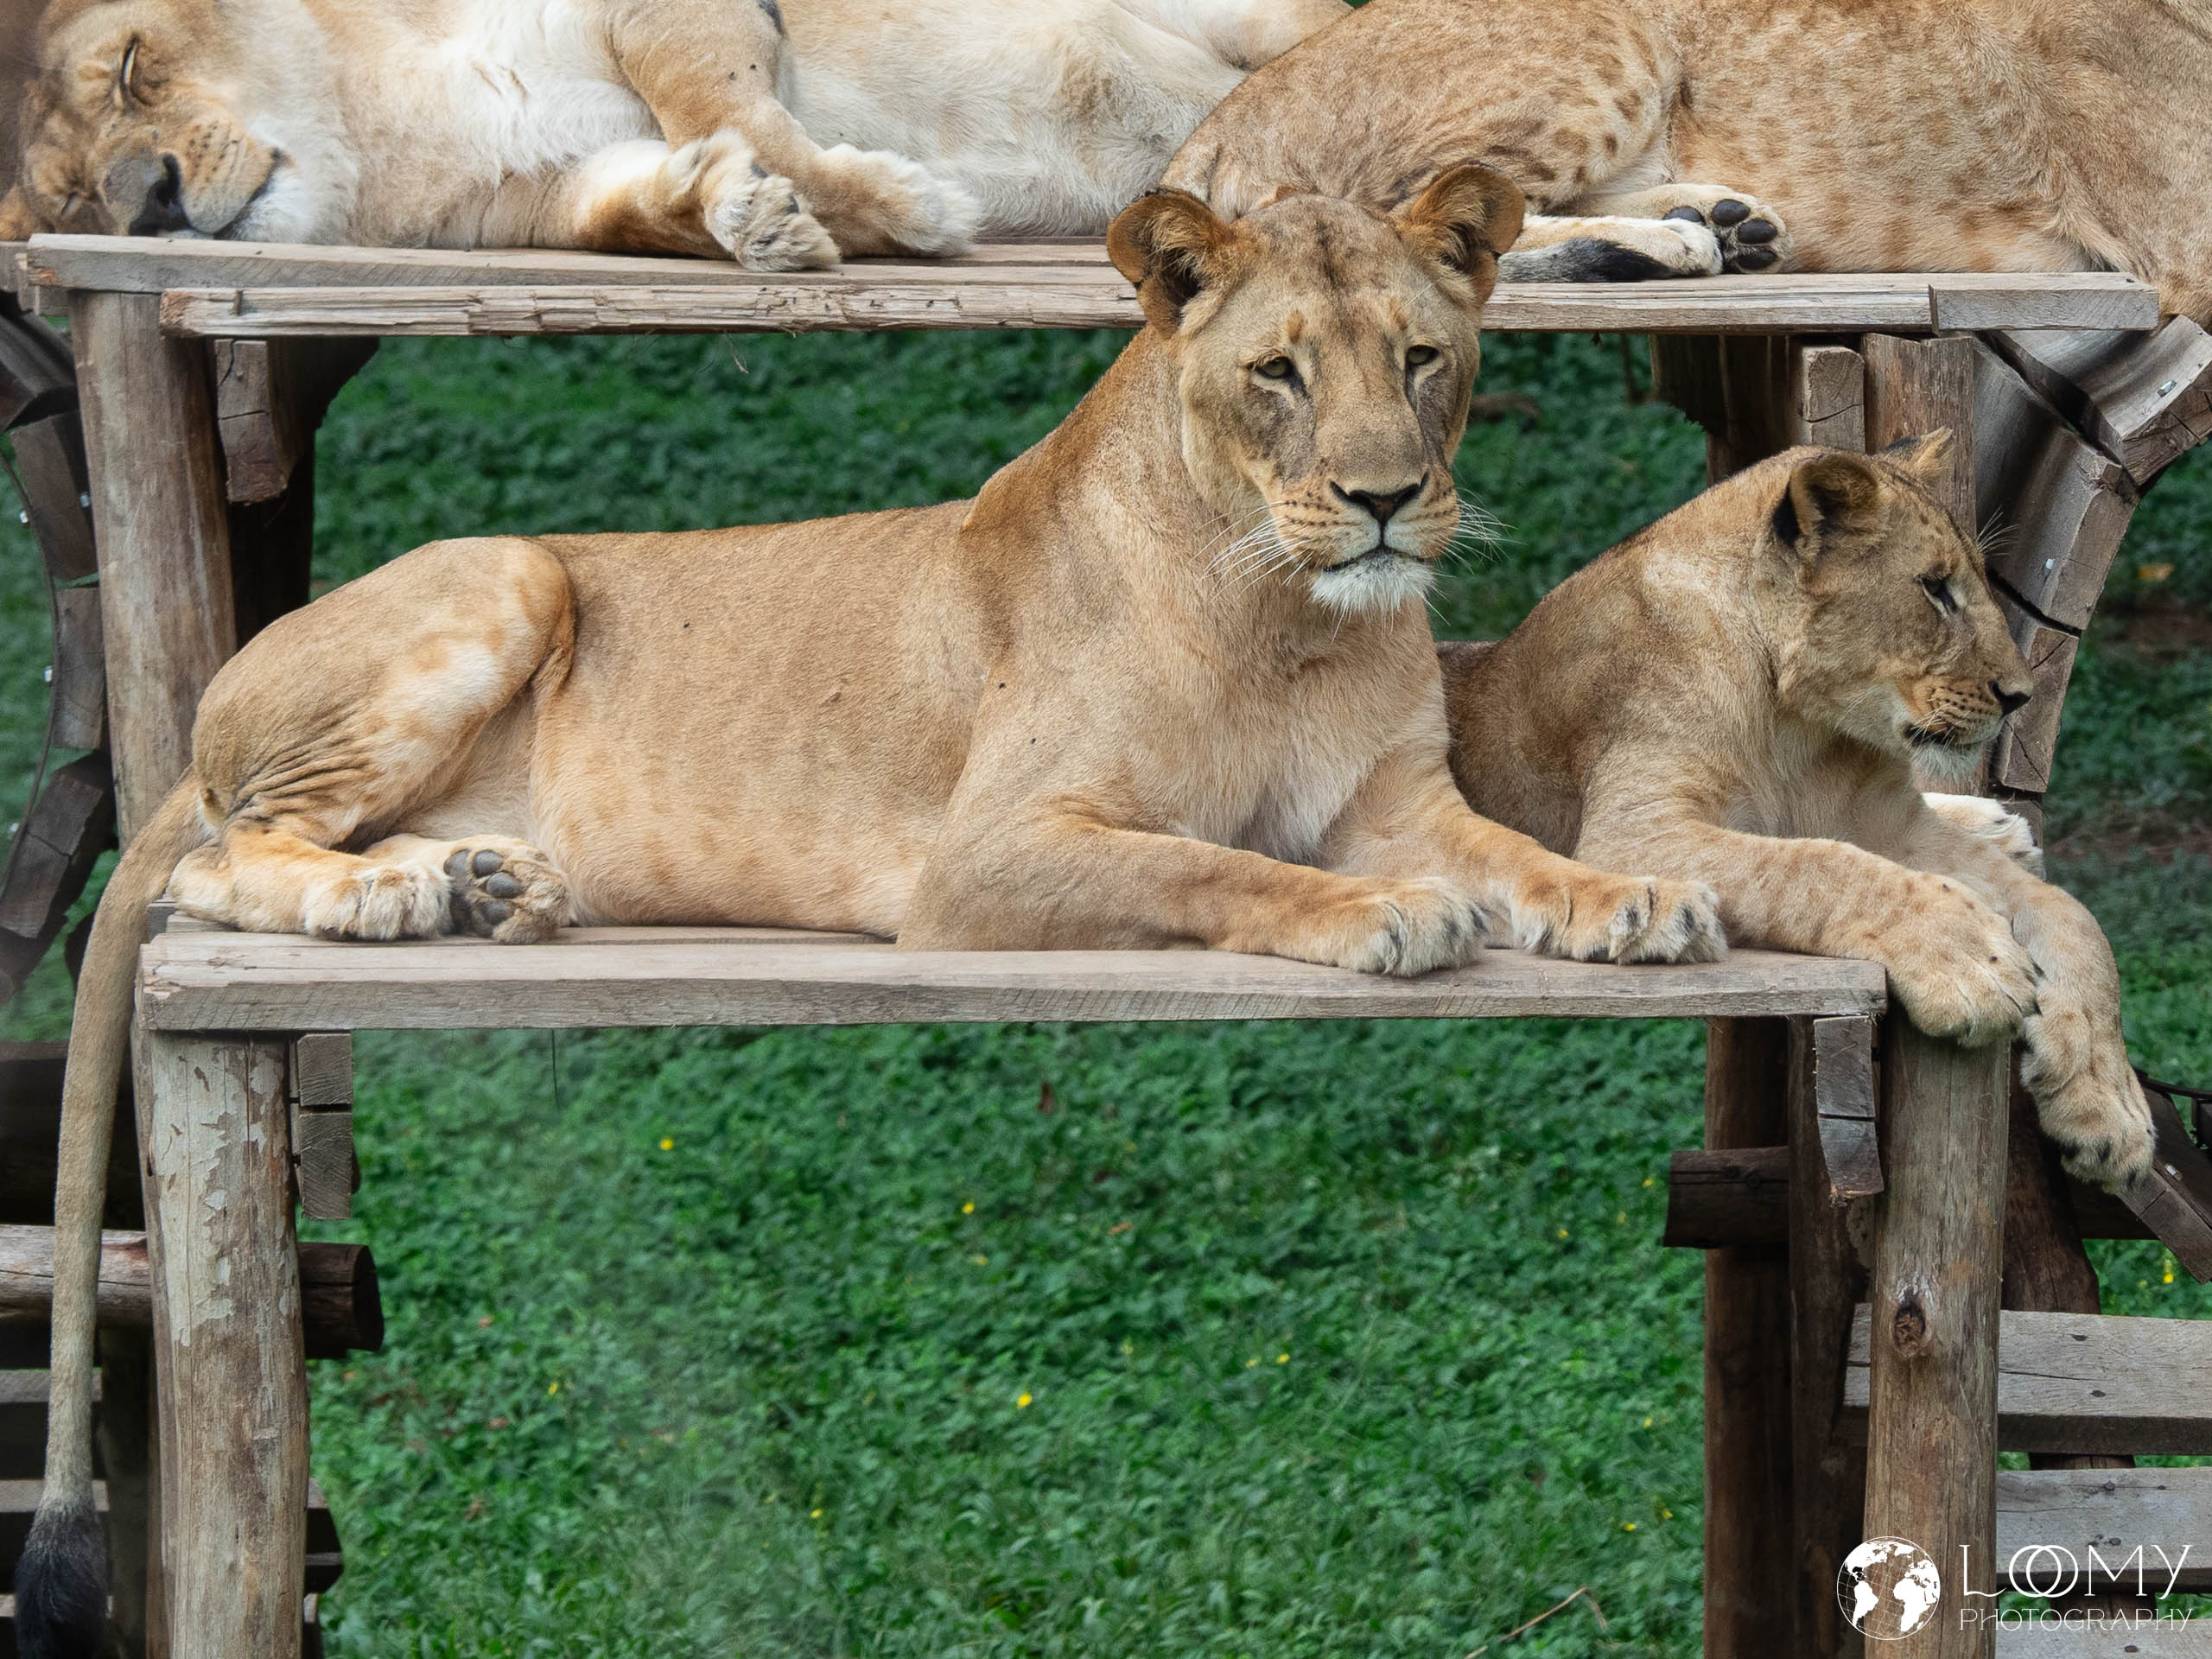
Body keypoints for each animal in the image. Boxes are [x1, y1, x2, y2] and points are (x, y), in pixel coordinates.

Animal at [16, 171, 1729, 1658]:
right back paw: (394, 893)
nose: (1384, 504)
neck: (1285, 614)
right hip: (500, 576)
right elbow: (1223, 864)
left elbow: (1519, 855)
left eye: (1422, 358)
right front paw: (1383, 913)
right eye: (1280, 374)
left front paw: (1639, 895)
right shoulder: (991, 853)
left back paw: (487, 884)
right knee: (214, 858)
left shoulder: (1401, 794)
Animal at [1166, 0, 2212, 320]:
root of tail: (1222, 114)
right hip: (1610, 34)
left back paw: (1722, 224)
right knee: (1409, 223)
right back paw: (1679, 245)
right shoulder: (2189, 255)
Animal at [1438, 433, 2156, 1193]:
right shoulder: (1628, 837)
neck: (1801, 728)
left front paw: (2109, 1111)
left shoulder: (1890, 822)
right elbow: (1818, 863)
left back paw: (1999, 824)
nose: (2021, 695)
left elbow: (2069, 914)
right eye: (1935, 587)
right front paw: (1970, 959)